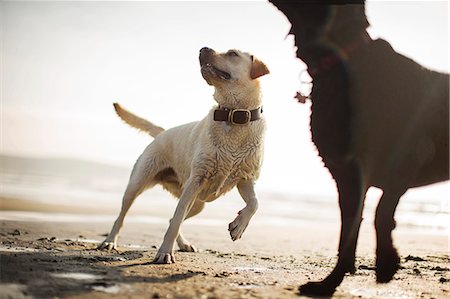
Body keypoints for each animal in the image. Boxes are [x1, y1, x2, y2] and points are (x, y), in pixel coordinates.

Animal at [98, 47, 268, 264]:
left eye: (232, 53)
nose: (203, 48)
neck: (234, 116)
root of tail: (162, 132)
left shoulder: (246, 179)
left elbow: (254, 203)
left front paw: (239, 226)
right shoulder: (196, 180)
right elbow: (175, 222)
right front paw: (164, 252)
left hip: (197, 204)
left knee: (173, 218)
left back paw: (184, 244)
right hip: (139, 184)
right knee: (123, 216)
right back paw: (109, 241)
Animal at [268, 0, 448, 298]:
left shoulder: (409, 155)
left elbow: (381, 213)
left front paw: (386, 263)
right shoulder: (346, 174)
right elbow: (348, 231)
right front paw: (329, 282)